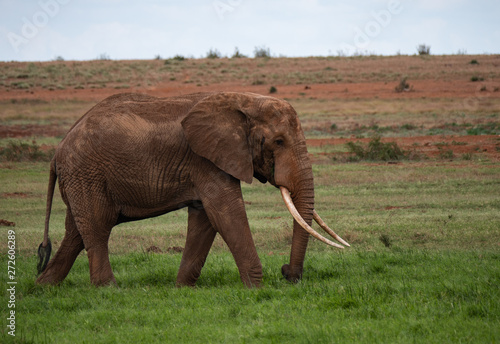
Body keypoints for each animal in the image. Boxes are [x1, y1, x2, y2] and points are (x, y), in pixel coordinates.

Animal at [37, 91, 348, 288]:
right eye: (279, 142)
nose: (287, 274)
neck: (245, 100)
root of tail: (57, 150)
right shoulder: (207, 159)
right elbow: (226, 213)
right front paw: (256, 289)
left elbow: (205, 220)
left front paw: (182, 289)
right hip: (86, 175)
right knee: (97, 227)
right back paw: (108, 289)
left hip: (81, 179)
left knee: (76, 233)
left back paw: (44, 286)